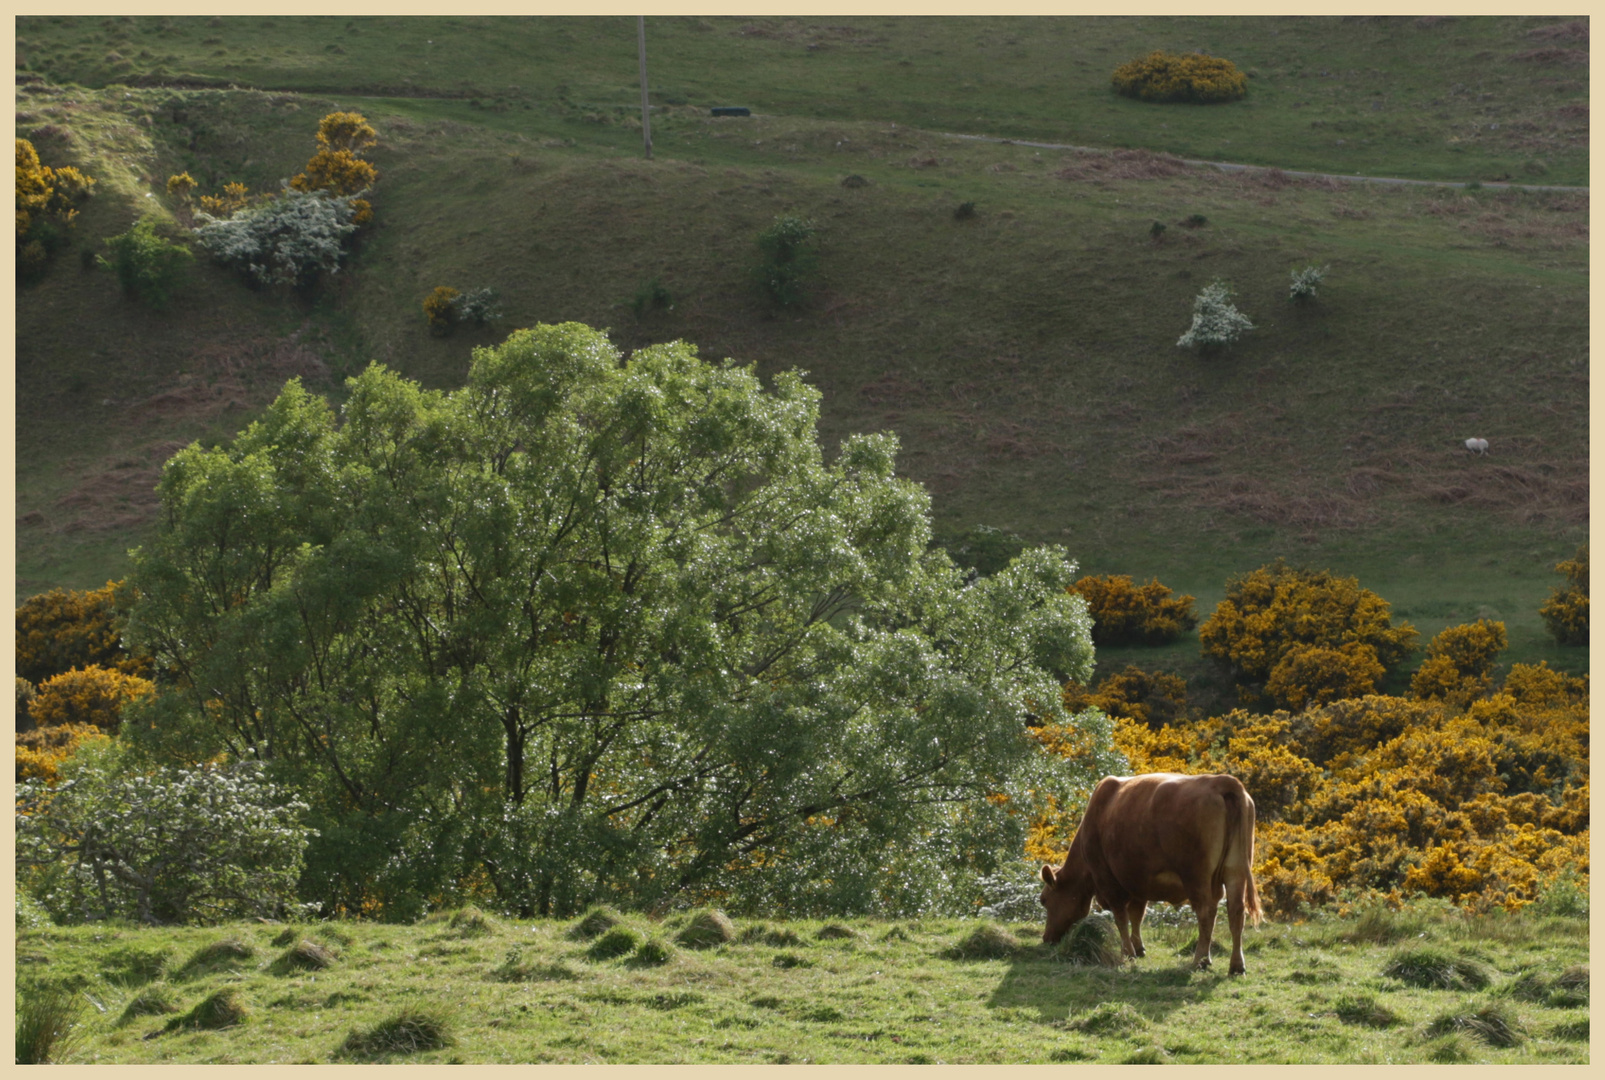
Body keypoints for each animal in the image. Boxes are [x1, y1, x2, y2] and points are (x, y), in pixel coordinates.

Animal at [1040, 770, 1264, 975]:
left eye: (1044, 900)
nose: (1046, 938)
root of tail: (1221, 781)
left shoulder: (1107, 879)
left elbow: (1121, 917)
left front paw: (1128, 952)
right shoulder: (1139, 880)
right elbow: (1137, 915)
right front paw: (1138, 948)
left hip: (1196, 875)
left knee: (1206, 912)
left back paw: (1200, 960)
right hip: (1235, 870)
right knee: (1236, 911)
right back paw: (1236, 965)